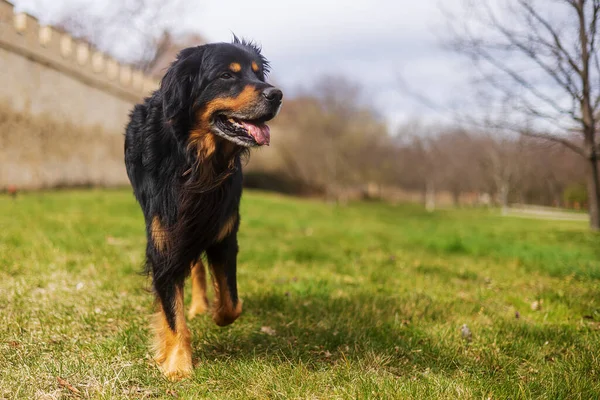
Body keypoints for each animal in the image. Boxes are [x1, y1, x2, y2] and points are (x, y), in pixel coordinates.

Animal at [124, 36, 284, 378]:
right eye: (226, 76)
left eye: (257, 74)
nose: (277, 95)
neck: (198, 161)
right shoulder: (166, 238)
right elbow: (172, 310)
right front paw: (178, 364)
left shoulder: (223, 232)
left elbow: (231, 304)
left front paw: (215, 315)